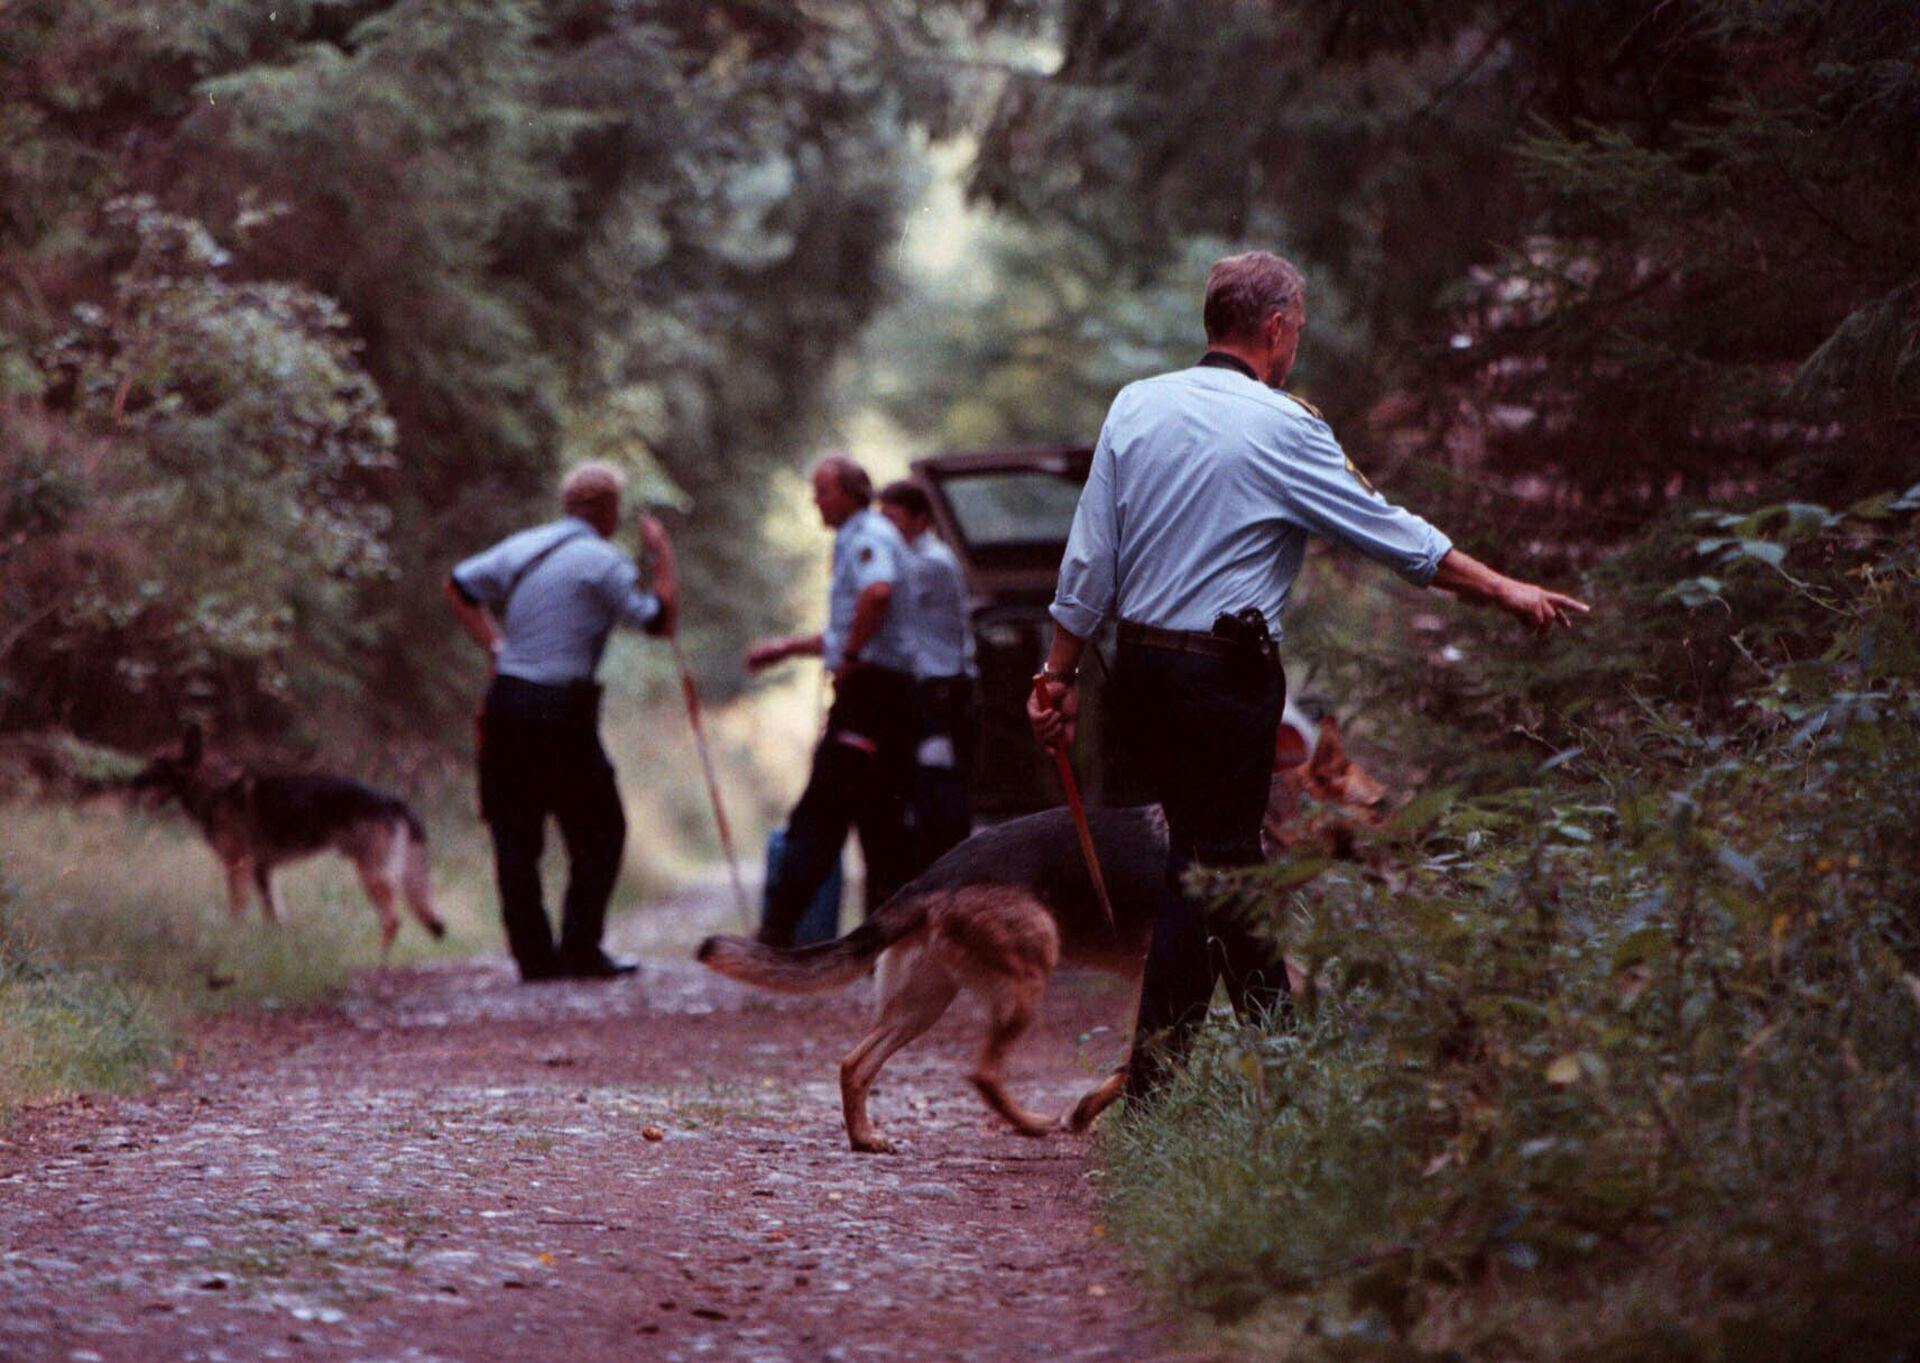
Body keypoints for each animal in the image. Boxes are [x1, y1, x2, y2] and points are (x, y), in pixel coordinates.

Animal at [135, 733, 449, 956]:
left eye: (158, 763)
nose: (132, 781)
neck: (218, 789)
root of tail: (393, 801)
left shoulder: (238, 867)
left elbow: (237, 911)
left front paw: (233, 941)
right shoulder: (262, 873)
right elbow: (274, 915)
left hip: (372, 876)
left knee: (392, 920)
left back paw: (374, 960)